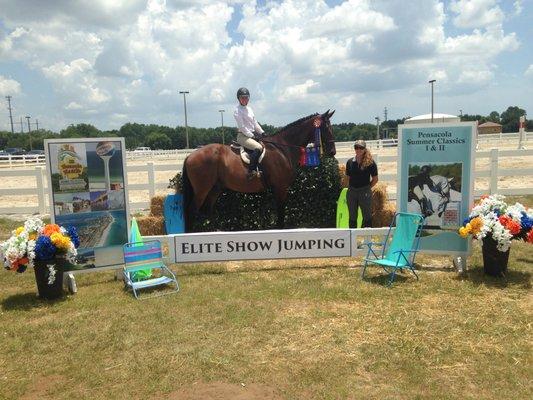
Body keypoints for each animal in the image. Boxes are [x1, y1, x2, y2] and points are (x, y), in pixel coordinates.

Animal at [181, 109, 334, 231]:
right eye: (326, 128)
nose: (332, 152)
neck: (282, 148)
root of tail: (190, 155)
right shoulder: (281, 187)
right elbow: (281, 214)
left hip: (215, 189)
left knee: (205, 211)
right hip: (202, 189)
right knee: (191, 211)